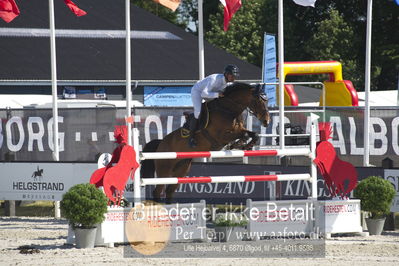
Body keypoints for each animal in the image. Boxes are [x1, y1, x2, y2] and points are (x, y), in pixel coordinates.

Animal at [139, 82, 270, 203]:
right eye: (259, 101)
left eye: (267, 100)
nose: (266, 121)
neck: (228, 110)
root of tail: (160, 143)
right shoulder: (220, 136)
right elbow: (244, 135)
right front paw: (238, 144)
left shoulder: (239, 130)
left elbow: (253, 134)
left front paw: (245, 145)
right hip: (164, 170)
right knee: (157, 191)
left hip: (181, 170)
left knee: (169, 191)